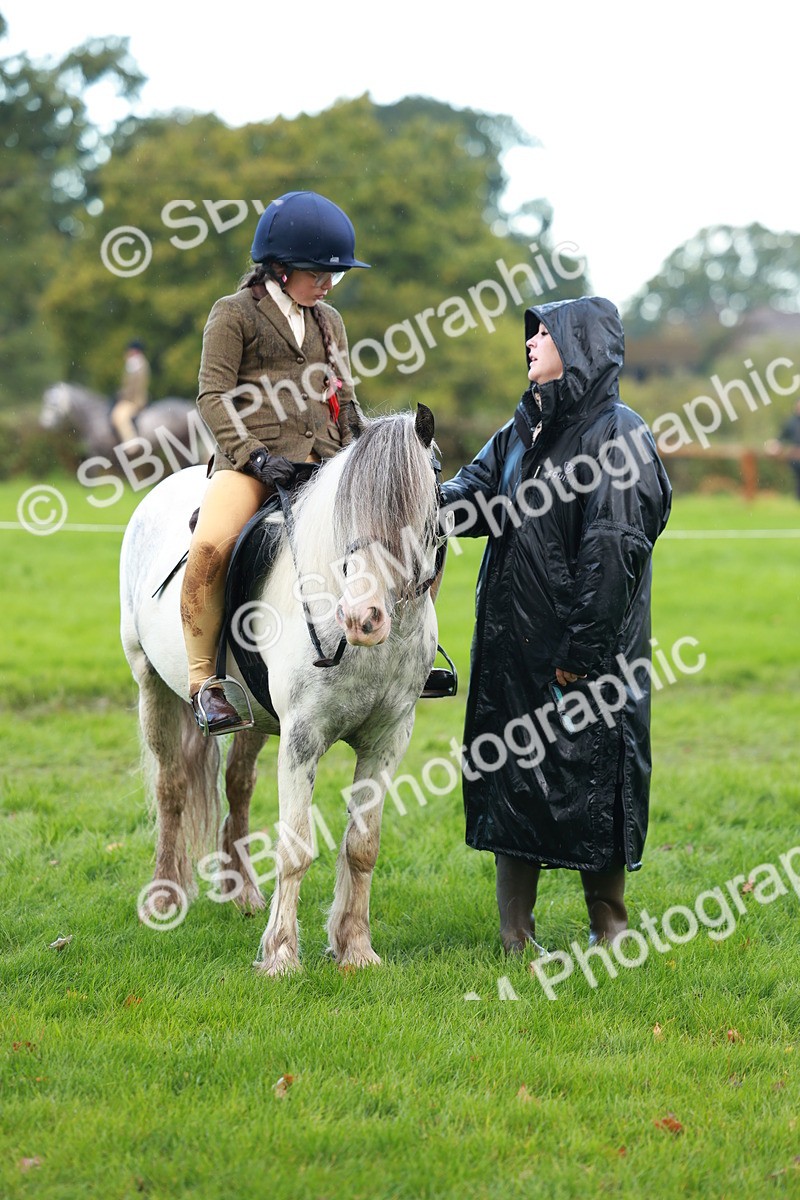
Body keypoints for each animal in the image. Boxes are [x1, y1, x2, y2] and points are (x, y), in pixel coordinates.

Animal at [119, 404, 447, 976]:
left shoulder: (388, 738)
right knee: (171, 786)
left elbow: (363, 844)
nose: (363, 618)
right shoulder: (302, 738)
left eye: (422, 512)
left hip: (252, 711)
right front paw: (280, 957)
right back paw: (162, 897)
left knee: (238, 784)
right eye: (346, 513)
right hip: (151, 687)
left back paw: (245, 893)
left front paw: (356, 948)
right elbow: (296, 847)